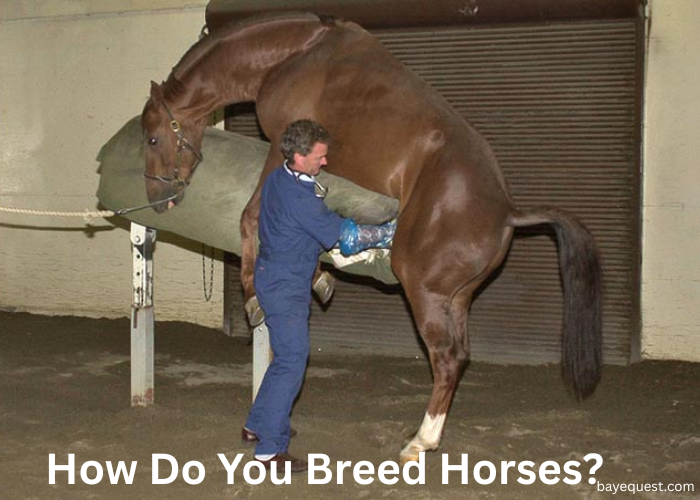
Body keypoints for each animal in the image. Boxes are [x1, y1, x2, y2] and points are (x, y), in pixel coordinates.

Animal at [141, 12, 602, 464]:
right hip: (456, 298)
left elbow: (252, 217)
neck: (295, 54)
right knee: (459, 356)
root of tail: (507, 209)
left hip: (423, 290)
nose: (157, 199)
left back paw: (421, 442)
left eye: (152, 136)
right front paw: (321, 277)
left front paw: (255, 295)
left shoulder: (279, 149)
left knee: (446, 357)